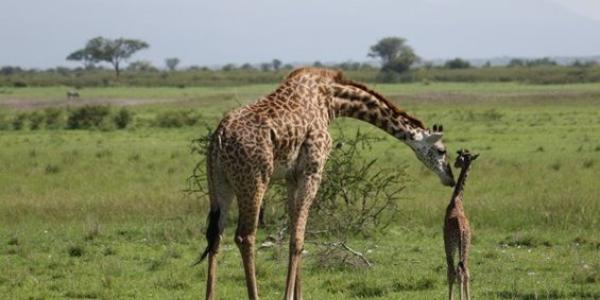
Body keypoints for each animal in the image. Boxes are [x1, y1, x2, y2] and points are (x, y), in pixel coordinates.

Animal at [197, 68, 454, 300]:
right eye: (441, 151)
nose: (450, 178)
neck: (331, 100)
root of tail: (219, 138)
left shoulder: (292, 176)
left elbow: (294, 233)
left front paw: (298, 296)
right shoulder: (313, 169)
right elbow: (298, 240)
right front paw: (289, 296)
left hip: (220, 184)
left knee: (216, 236)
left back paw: (210, 296)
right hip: (254, 179)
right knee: (245, 236)